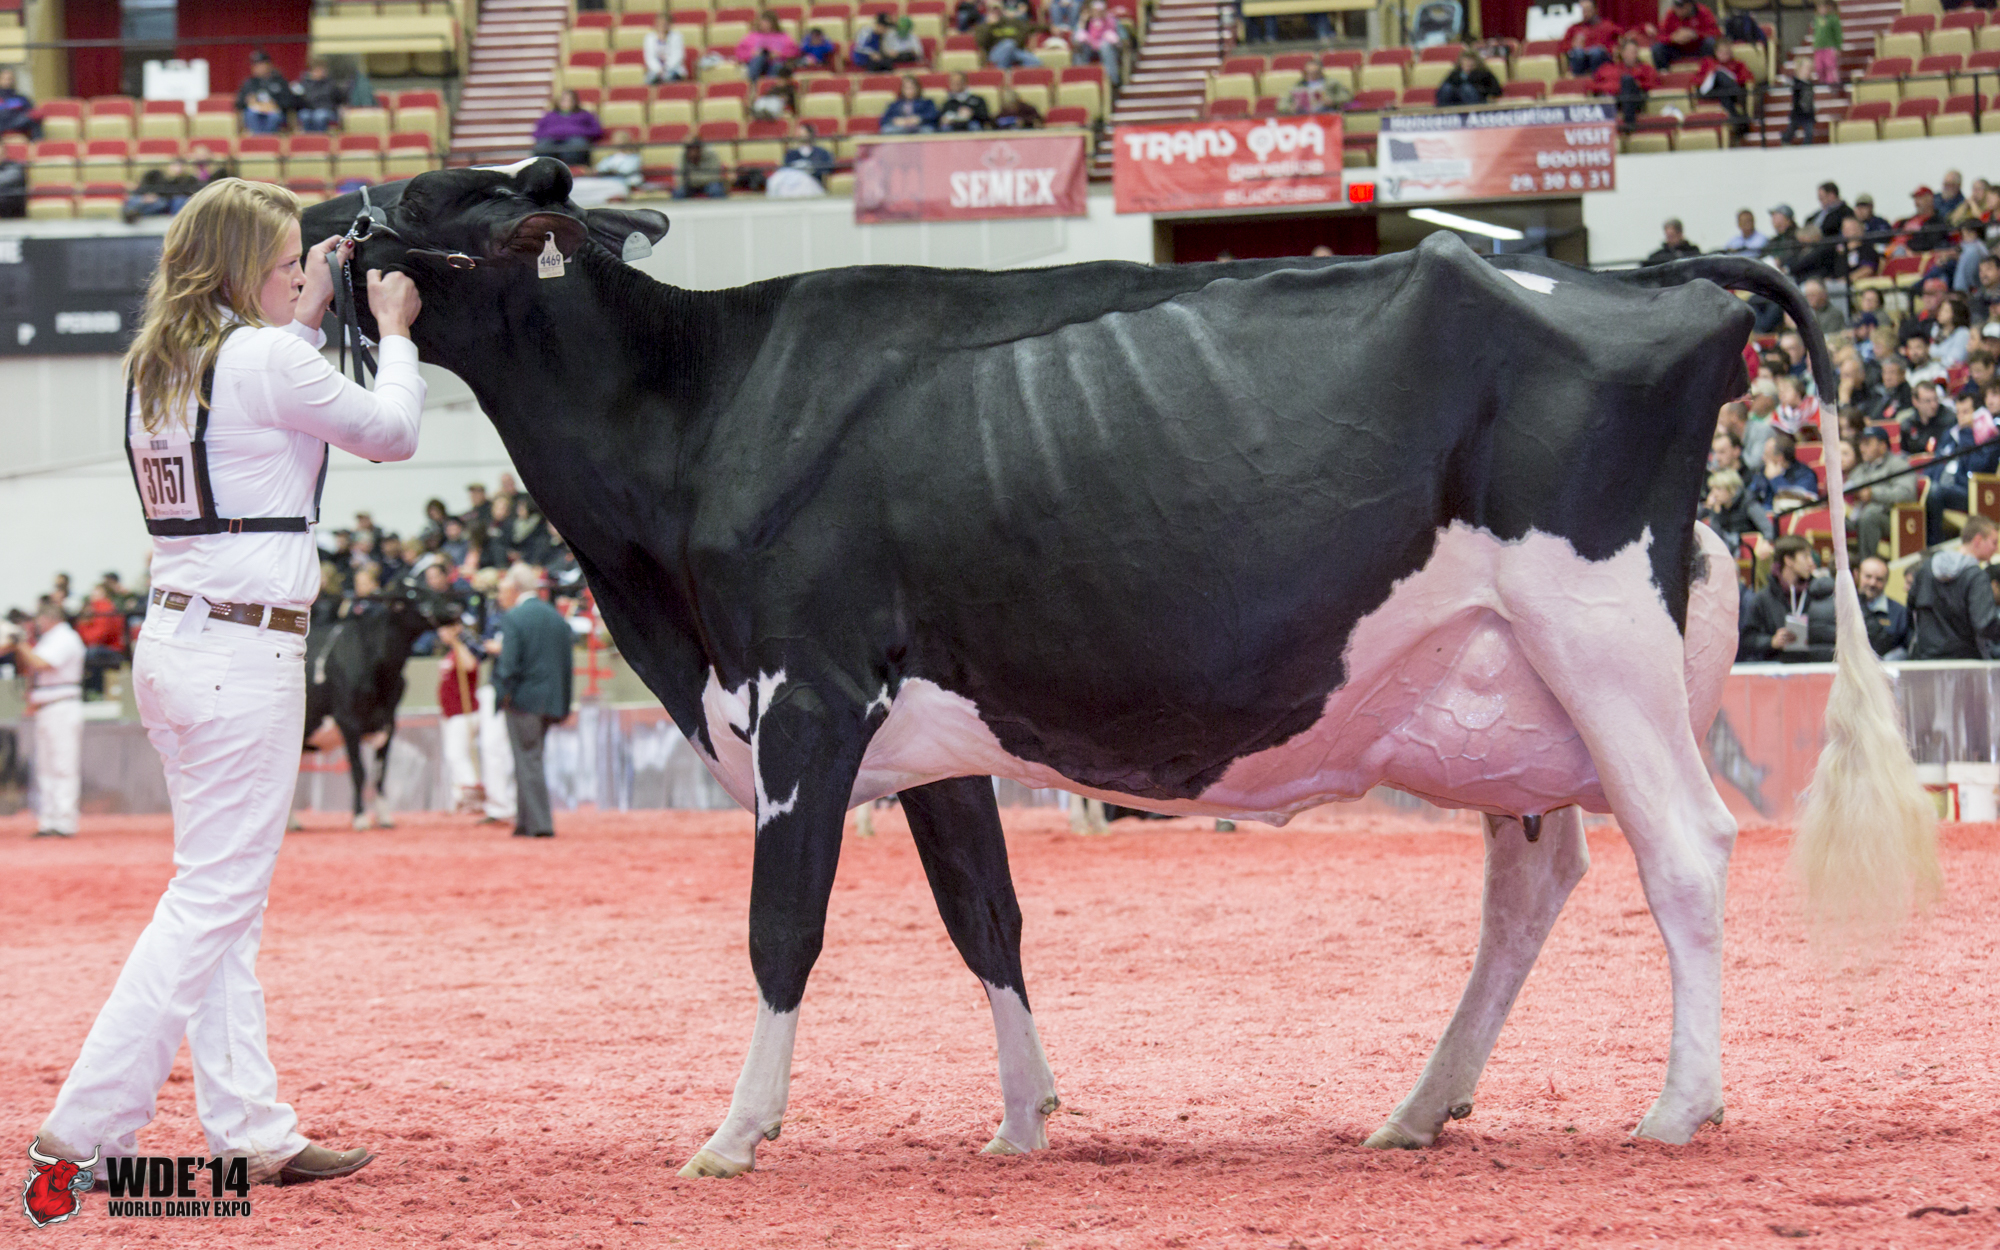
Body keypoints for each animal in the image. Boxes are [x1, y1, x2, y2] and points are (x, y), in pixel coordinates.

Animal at [302, 579, 455, 829]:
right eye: (412, 595)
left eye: (431, 588)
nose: (455, 609)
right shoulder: (348, 721)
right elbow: (359, 771)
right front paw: (360, 817)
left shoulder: (388, 721)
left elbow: (380, 773)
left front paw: (384, 817)